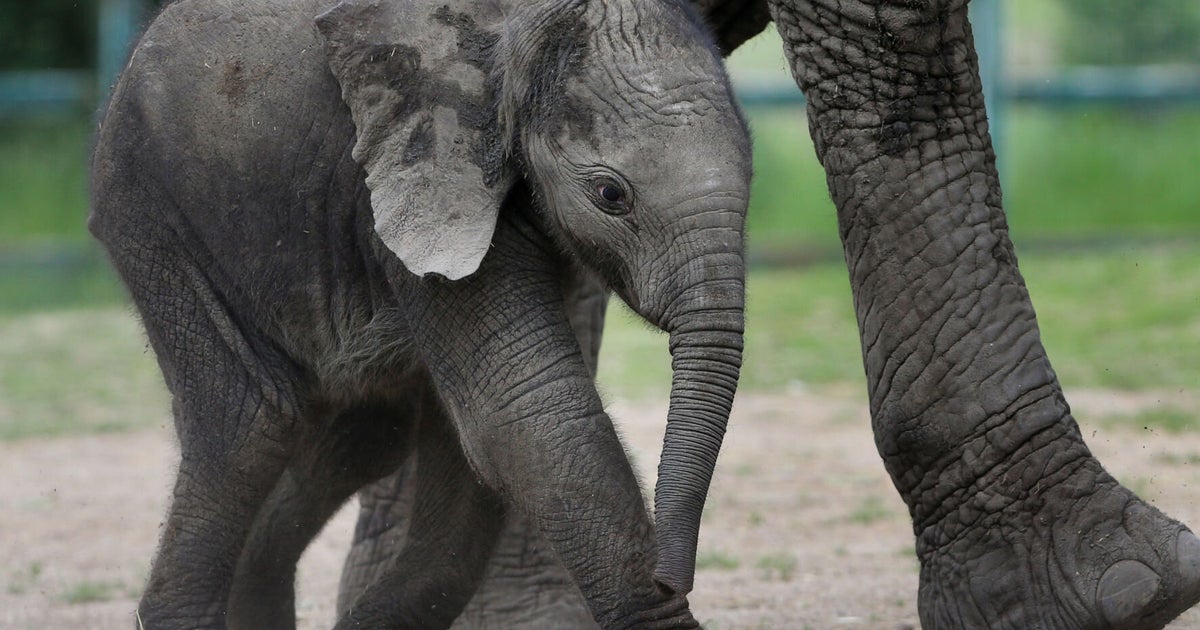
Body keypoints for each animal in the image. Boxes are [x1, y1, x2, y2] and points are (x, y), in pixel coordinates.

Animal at [89, 0, 753, 627]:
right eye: (611, 195)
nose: (670, 578)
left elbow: (477, 445)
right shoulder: (411, 183)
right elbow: (527, 411)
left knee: (360, 439)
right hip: (155, 219)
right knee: (248, 427)